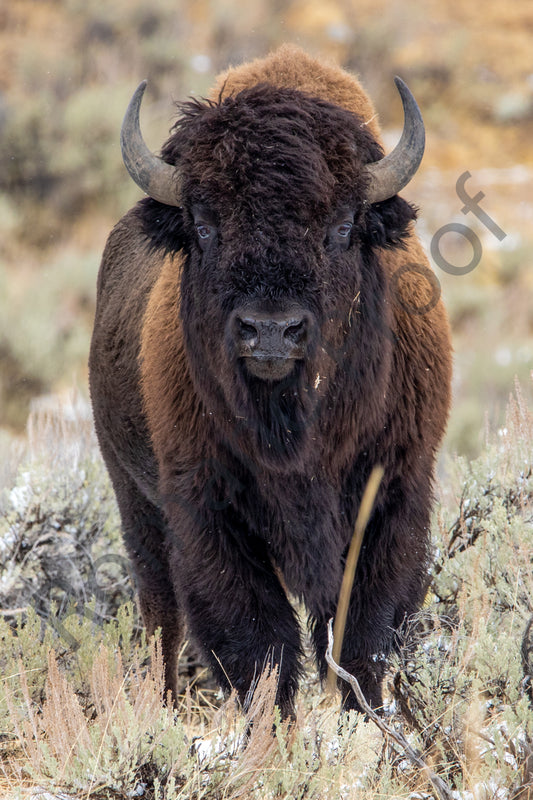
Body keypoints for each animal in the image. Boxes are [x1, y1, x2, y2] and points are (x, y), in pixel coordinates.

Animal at [89, 45, 450, 720]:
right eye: (205, 227)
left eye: (342, 226)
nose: (272, 332)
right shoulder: (206, 513)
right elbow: (259, 644)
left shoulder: (395, 496)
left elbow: (362, 636)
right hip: (134, 499)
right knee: (161, 615)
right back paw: (163, 706)